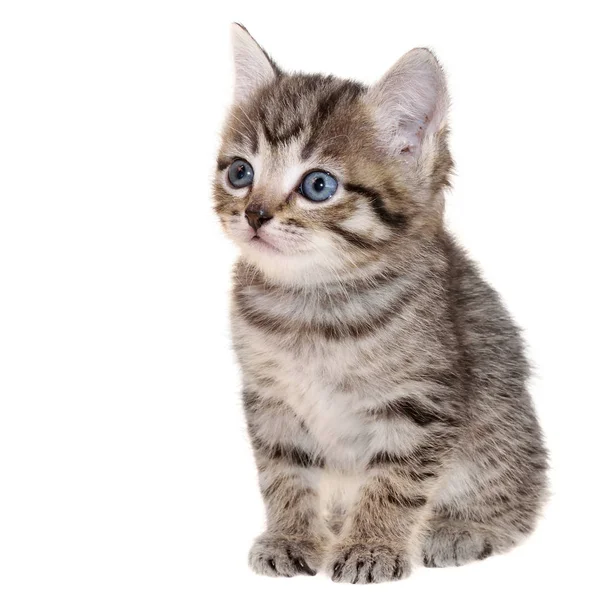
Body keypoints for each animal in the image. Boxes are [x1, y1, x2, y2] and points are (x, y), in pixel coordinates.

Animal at [214, 24, 548, 584]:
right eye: (240, 172)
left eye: (318, 184)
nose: (255, 213)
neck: (313, 302)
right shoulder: (270, 398)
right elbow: (283, 471)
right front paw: (291, 536)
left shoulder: (423, 400)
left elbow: (396, 479)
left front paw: (371, 547)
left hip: (503, 426)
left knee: (520, 499)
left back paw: (460, 528)